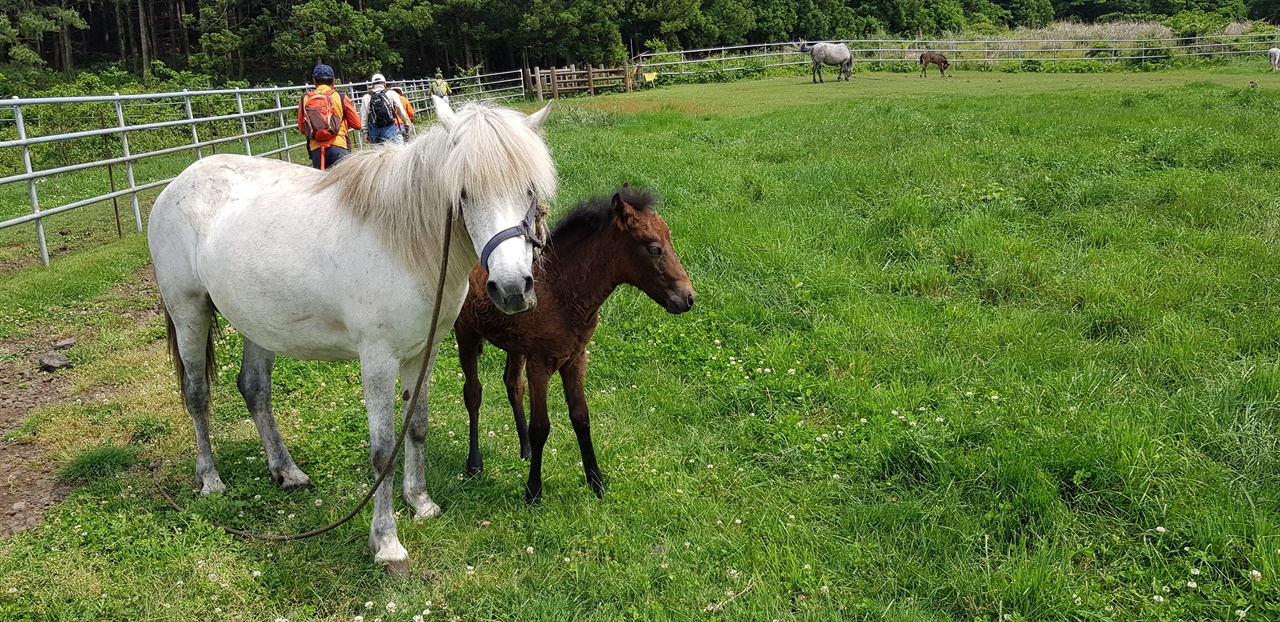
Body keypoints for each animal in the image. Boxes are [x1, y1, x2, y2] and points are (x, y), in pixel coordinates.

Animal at [148, 95, 555, 573]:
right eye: (463, 193)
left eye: (529, 190)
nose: (511, 289)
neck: (403, 243)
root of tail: (178, 183)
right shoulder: (378, 360)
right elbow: (382, 450)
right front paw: (386, 542)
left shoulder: (424, 352)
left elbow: (416, 427)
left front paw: (420, 503)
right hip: (188, 312)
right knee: (197, 395)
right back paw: (210, 479)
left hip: (258, 324)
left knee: (254, 389)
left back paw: (287, 471)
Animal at [453, 185, 696, 504]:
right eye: (654, 248)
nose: (687, 298)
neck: (562, 292)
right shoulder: (540, 363)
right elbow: (541, 426)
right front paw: (533, 491)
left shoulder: (575, 357)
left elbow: (581, 417)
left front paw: (596, 481)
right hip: (466, 333)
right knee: (473, 393)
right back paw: (474, 463)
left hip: (515, 346)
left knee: (513, 385)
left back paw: (525, 449)